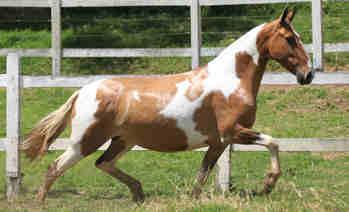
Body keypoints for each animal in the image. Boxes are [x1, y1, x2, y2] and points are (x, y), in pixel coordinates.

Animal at [23, 8, 314, 203]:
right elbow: (274, 142)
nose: (308, 75)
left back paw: (139, 192)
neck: (230, 80)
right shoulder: (232, 132)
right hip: (85, 141)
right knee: (55, 168)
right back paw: (41, 202)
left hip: (122, 141)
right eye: (290, 39)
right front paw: (268, 184)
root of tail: (82, 91)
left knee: (102, 163)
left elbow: (202, 175)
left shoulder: (218, 143)